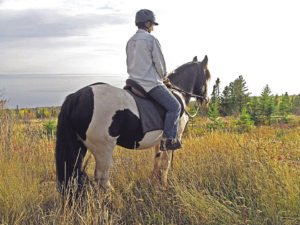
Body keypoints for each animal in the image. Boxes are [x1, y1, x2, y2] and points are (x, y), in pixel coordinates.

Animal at [56, 55, 211, 193]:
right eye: (208, 77)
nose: (206, 100)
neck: (178, 94)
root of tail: (76, 97)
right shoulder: (174, 138)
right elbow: (165, 164)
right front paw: (164, 186)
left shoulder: (160, 141)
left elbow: (157, 160)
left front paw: (155, 183)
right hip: (103, 149)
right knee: (102, 179)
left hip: (79, 146)